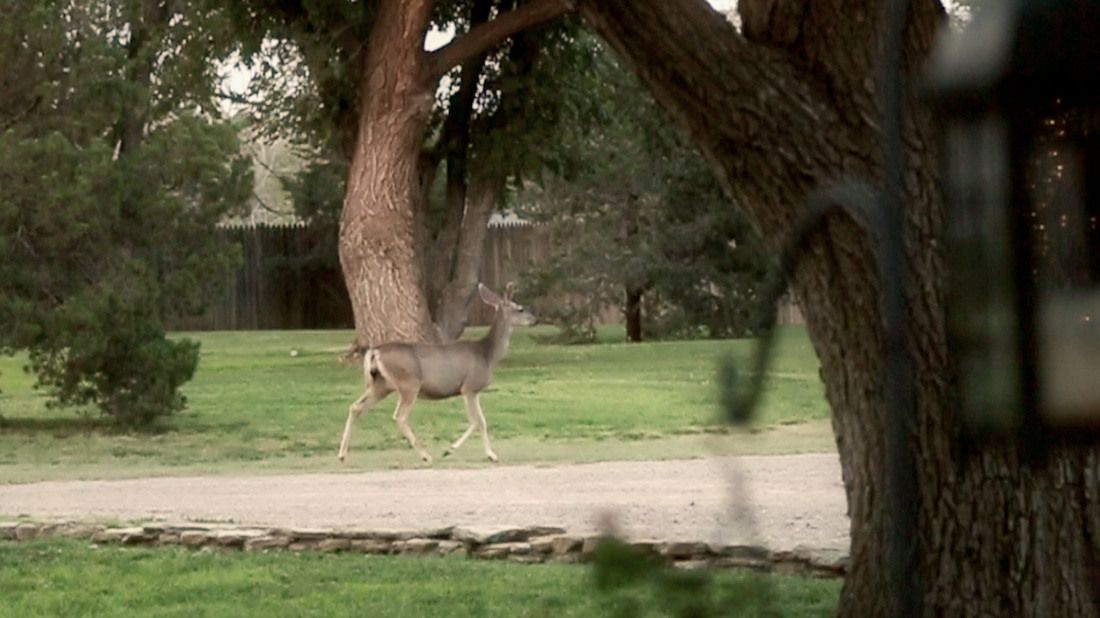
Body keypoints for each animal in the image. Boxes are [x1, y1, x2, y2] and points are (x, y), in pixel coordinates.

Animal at [338, 282, 533, 464]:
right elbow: (476, 421)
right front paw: (452, 450)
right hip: (408, 382)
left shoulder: (474, 390)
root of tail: (375, 351)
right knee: (399, 416)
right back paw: (426, 456)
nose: (535, 319)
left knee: (356, 407)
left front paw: (490, 455)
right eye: (520, 308)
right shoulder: (469, 387)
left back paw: (342, 455)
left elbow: (482, 421)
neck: (487, 354)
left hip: (381, 384)